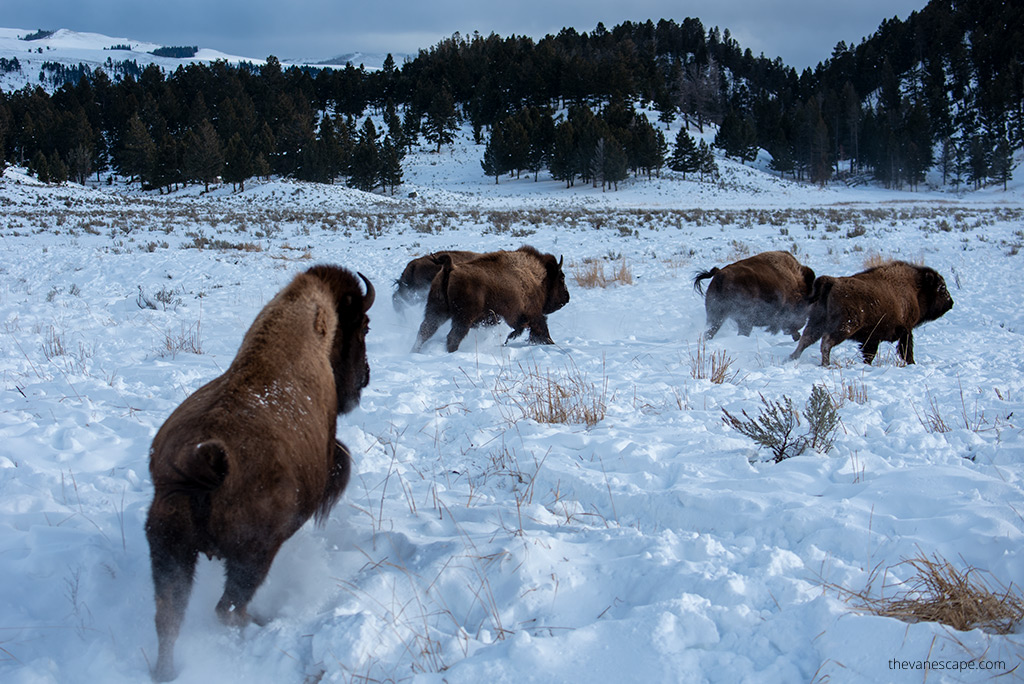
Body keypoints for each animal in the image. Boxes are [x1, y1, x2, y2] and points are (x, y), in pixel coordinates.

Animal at [148, 264, 376, 679]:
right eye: (363, 326)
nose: (364, 378)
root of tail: (203, 462)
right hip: (254, 554)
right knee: (228, 607)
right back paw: (260, 623)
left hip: (171, 554)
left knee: (168, 617)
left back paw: (165, 672)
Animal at [411, 245, 573, 352]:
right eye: (561, 278)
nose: (566, 298)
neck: (538, 277)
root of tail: (450, 267)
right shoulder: (533, 314)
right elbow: (542, 329)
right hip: (463, 318)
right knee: (453, 336)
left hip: (437, 310)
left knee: (425, 331)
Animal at [786, 258, 954, 362]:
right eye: (942, 288)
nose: (951, 302)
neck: (916, 288)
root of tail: (832, 282)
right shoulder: (906, 329)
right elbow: (906, 349)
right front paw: (911, 362)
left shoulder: (872, 337)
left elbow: (869, 353)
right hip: (845, 326)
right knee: (826, 342)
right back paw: (826, 364)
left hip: (816, 322)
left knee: (805, 339)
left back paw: (791, 358)